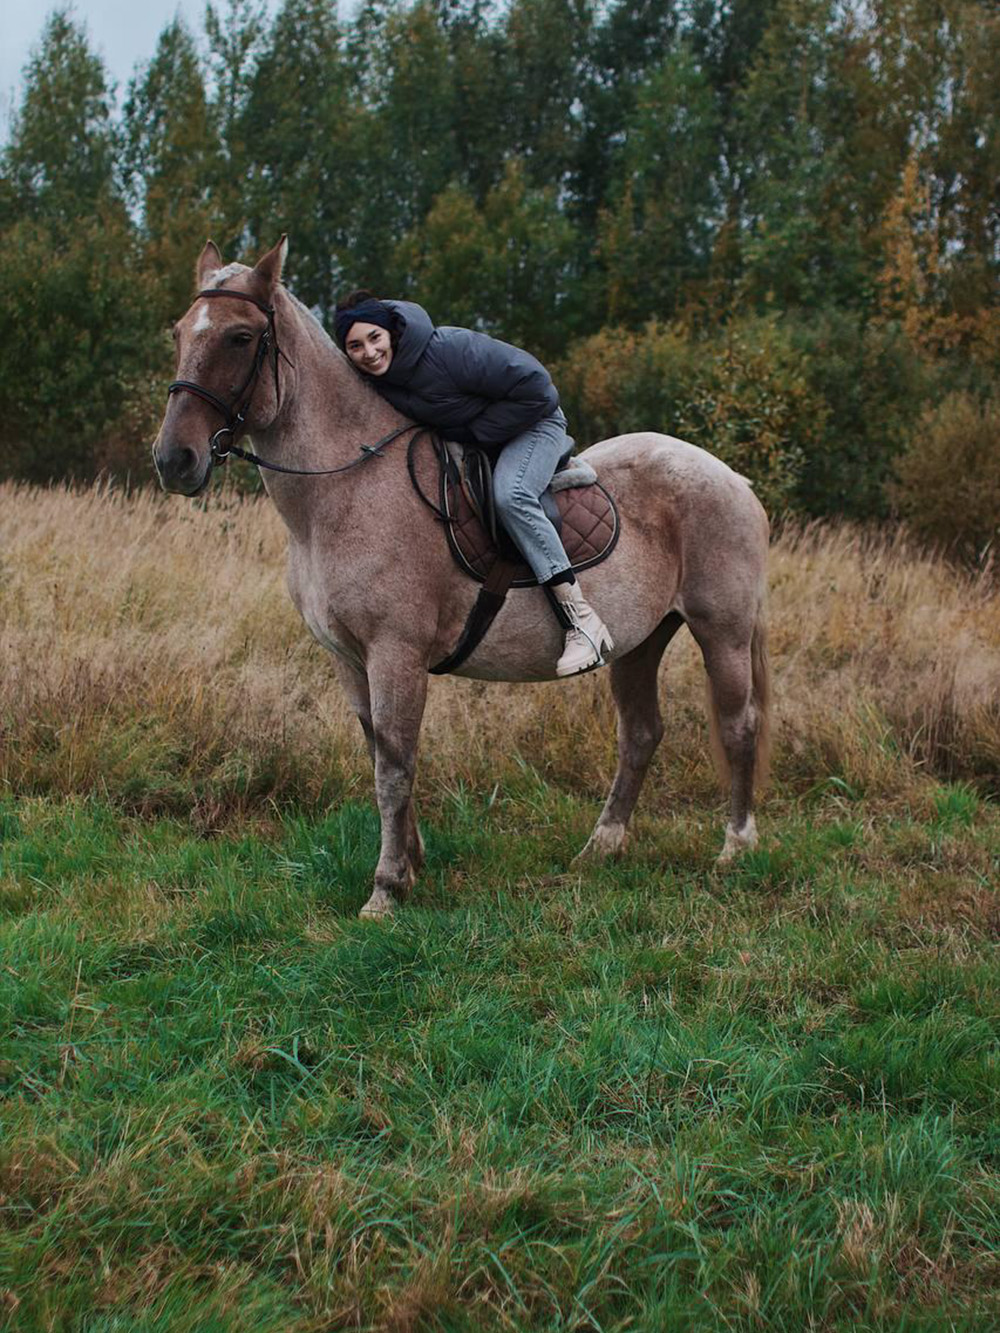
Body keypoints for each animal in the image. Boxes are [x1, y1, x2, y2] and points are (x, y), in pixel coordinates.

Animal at [152, 239, 773, 917]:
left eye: (240, 337)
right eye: (180, 332)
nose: (174, 459)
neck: (346, 488)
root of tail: (730, 477)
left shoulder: (395, 654)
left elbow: (394, 766)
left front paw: (386, 889)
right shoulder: (349, 658)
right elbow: (381, 756)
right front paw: (412, 861)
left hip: (722, 631)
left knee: (738, 725)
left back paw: (736, 848)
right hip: (641, 641)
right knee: (640, 734)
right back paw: (601, 847)